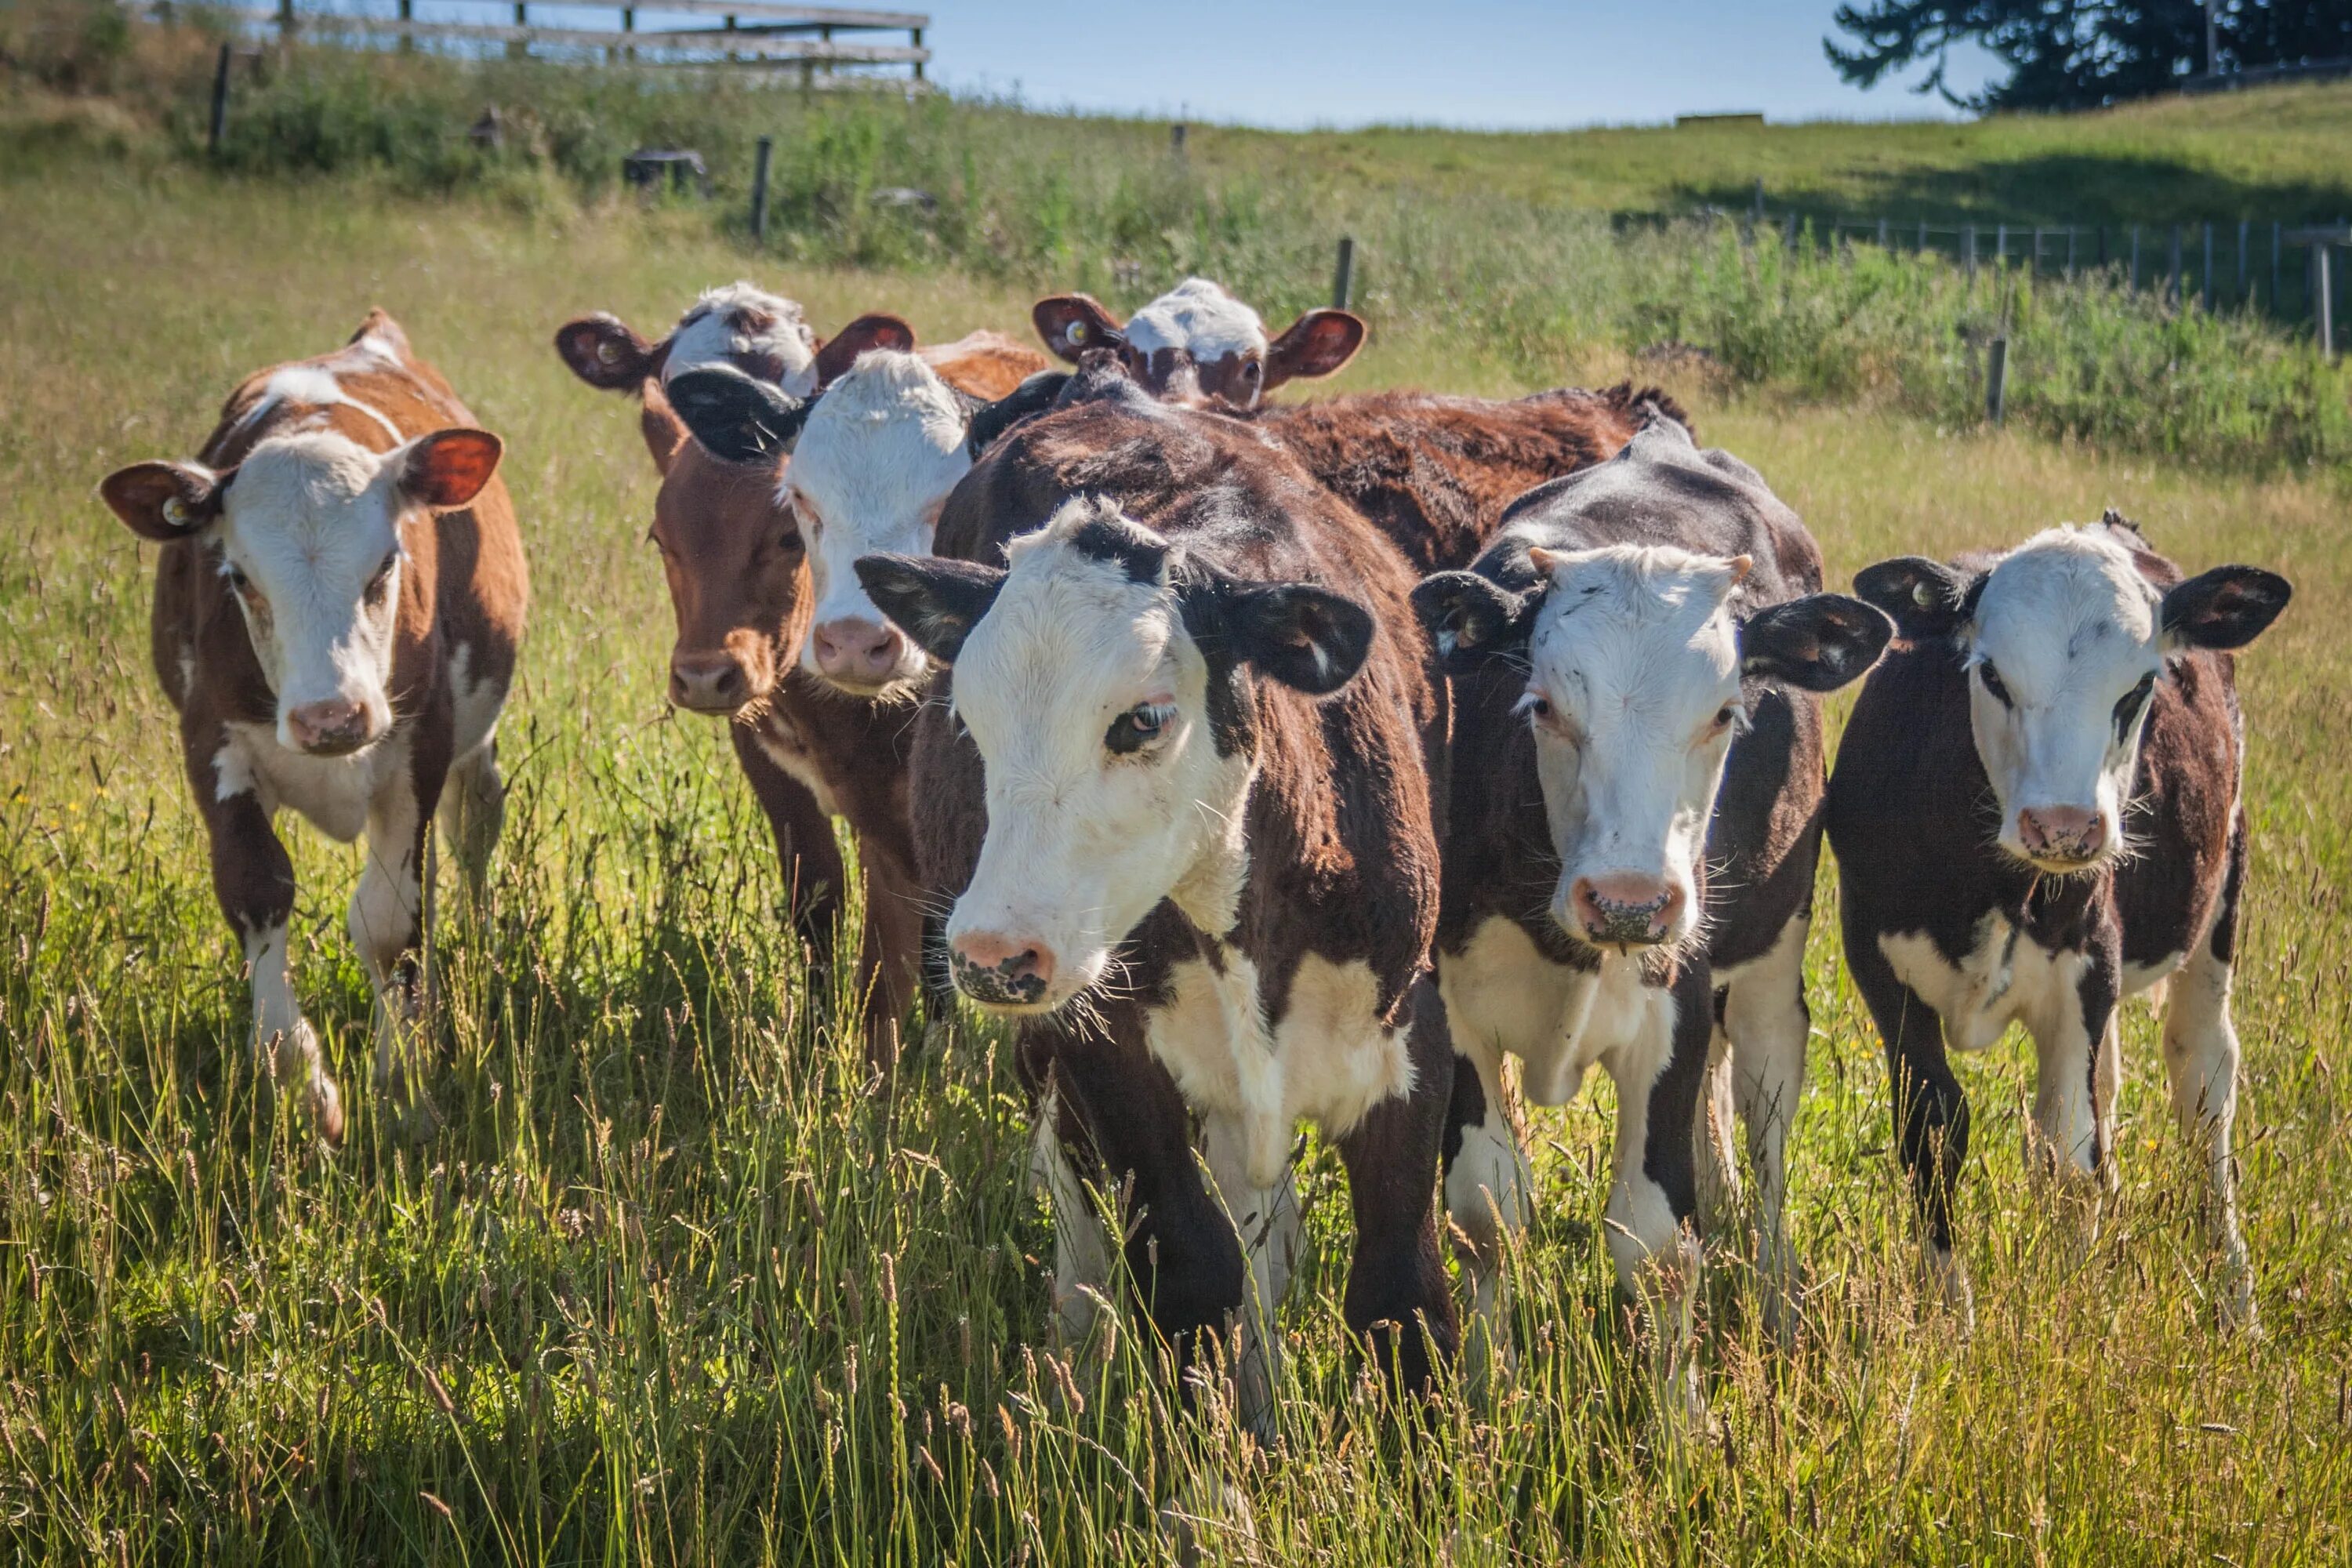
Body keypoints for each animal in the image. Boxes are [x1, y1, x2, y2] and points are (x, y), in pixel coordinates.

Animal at [97, 310, 529, 1142]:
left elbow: (389, 922)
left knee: (472, 831)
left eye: (386, 565)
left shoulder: (419, 741)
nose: (332, 718)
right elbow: (255, 886)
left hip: (472, 746)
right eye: (238, 578)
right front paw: (301, 1083)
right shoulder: (209, 739)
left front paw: (403, 1086)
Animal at [1411, 420, 1891, 1382]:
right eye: (1543, 705)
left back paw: (1777, 1301)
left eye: (1726, 712)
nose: (1629, 903)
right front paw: (1488, 1385)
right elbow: (1486, 1211)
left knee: (1766, 1116)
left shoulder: (1673, 1004)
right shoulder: (1455, 1008)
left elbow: (1657, 1245)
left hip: (1770, 962)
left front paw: (1681, 1410)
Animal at [1825, 521, 2286, 1335]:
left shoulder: (2088, 968)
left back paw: (2237, 1297)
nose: (2065, 828)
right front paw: (1952, 1318)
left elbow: (2070, 1155)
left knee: (2204, 1082)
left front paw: (2070, 1306)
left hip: (2222, 892)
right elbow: (1934, 1130)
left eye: (2139, 687)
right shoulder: (1879, 965)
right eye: (1991, 675)